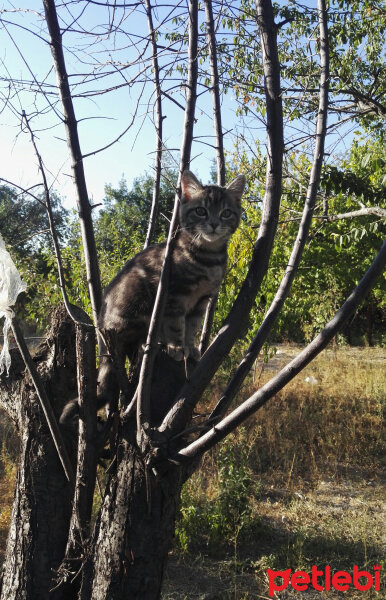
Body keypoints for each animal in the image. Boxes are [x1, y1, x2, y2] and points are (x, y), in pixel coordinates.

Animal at [61, 168, 246, 422]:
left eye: (226, 213)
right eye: (201, 211)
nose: (214, 224)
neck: (208, 259)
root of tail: (101, 326)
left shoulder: (201, 302)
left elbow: (191, 327)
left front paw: (191, 347)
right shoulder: (174, 295)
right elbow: (177, 325)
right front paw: (177, 348)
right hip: (137, 311)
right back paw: (158, 343)